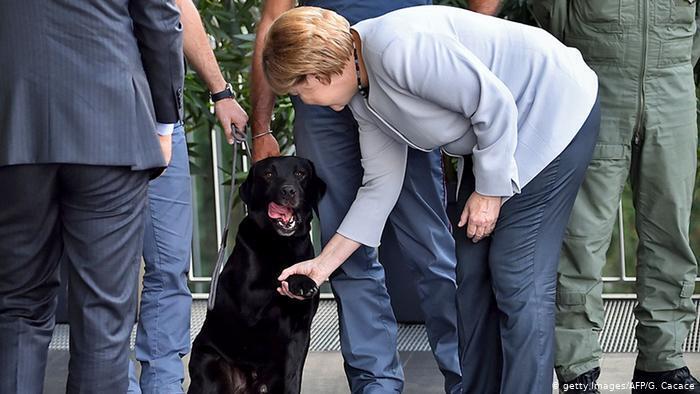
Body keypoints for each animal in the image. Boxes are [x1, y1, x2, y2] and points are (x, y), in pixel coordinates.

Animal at [189, 155, 326, 392]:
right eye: (269, 174)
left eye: (300, 173)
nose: (288, 191)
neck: (281, 243)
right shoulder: (250, 300)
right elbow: (277, 276)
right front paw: (300, 281)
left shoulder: (299, 331)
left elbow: (292, 377)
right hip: (210, 367)